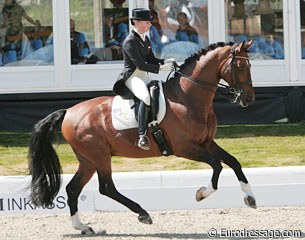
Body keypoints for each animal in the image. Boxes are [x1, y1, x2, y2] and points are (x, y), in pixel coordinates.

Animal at [29, 40, 256, 234]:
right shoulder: (184, 147)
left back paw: (83, 227)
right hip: (99, 155)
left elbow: (233, 162)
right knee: (106, 187)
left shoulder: (206, 142)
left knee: (73, 189)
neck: (188, 96)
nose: (248, 99)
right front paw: (202, 193)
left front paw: (250, 197)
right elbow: (217, 165)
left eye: (250, 65)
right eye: (241, 67)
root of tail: (68, 111)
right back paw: (143, 214)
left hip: (88, 159)